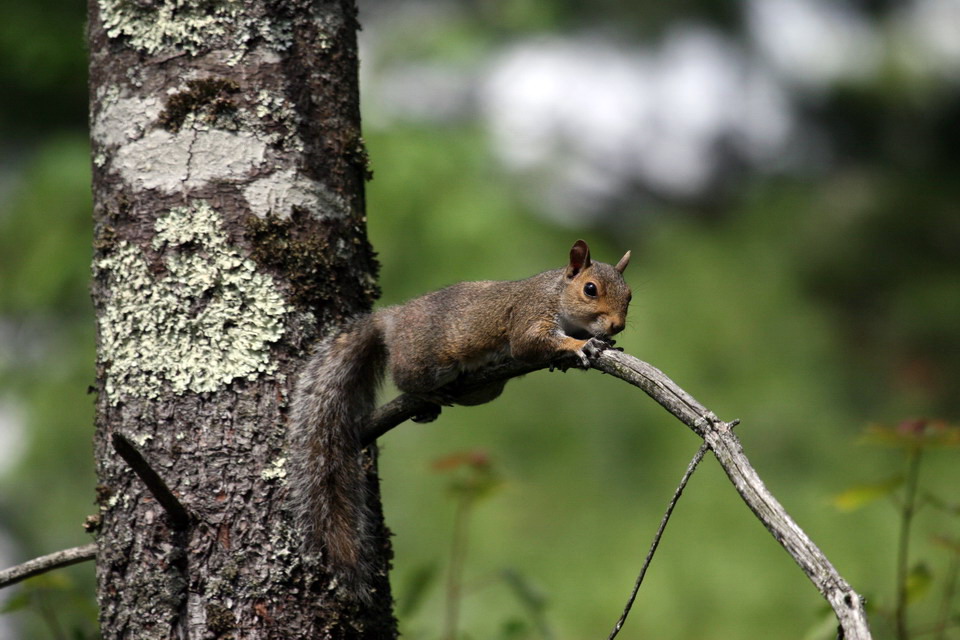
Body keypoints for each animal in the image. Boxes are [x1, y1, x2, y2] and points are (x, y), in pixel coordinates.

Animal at [288, 239, 631, 601]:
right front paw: (581, 344)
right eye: (590, 289)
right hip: (424, 361)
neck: (555, 293)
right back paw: (428, 396)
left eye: (630, 294)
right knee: (404, 378)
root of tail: (392, 319)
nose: (617, 326)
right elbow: (528, 344)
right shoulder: (529, 315)